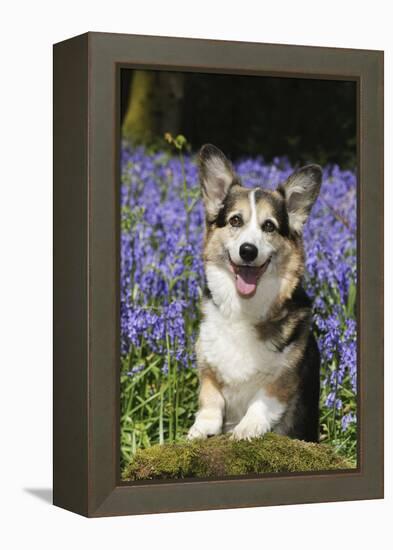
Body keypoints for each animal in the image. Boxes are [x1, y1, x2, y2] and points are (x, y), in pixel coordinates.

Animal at [188, 146, 322, 444]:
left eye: (269, 226)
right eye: (235, 220)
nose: (248, 251)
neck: (244, 308)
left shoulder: (284, 376)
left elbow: (263, 401)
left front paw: (246, 428)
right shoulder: (207, 363)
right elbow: (210, 398)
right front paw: (201, 428)